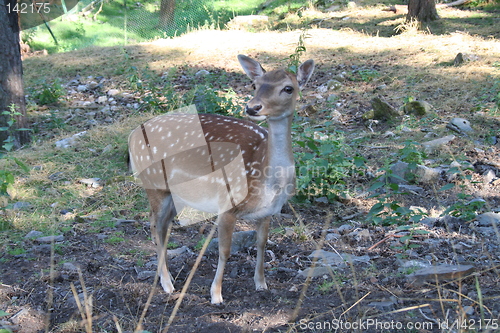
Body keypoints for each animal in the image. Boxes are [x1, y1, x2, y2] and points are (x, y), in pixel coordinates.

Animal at [129, 54, 312, 304]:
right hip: (155, 185)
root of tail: (131, 136)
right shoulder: (227, 203)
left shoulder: (268, 212)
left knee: (163, 226)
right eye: (254, 85)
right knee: (155, 227)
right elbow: (224, 250)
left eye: (288, 88)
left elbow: (262, 243)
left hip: (176, 195)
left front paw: (261, 283)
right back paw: (167, 285)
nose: (253, 107)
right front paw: (216, 295)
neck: (268, 181)